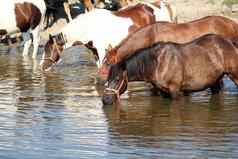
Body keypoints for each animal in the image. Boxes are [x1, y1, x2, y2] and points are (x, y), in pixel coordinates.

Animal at [40, 1, 175, 71]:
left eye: (48, 50)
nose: (41, 66)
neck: (88, 27)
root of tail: (160, 5)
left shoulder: (101, 51)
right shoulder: (94, 51)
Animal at [102, 34, 238, 105]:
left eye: (118, 79)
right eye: (108, 79)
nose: (105, 100)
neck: (157, 63)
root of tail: (230, 42)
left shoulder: (175, 91)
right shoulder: (164, 92)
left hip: (234, 75)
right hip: (215, 80)